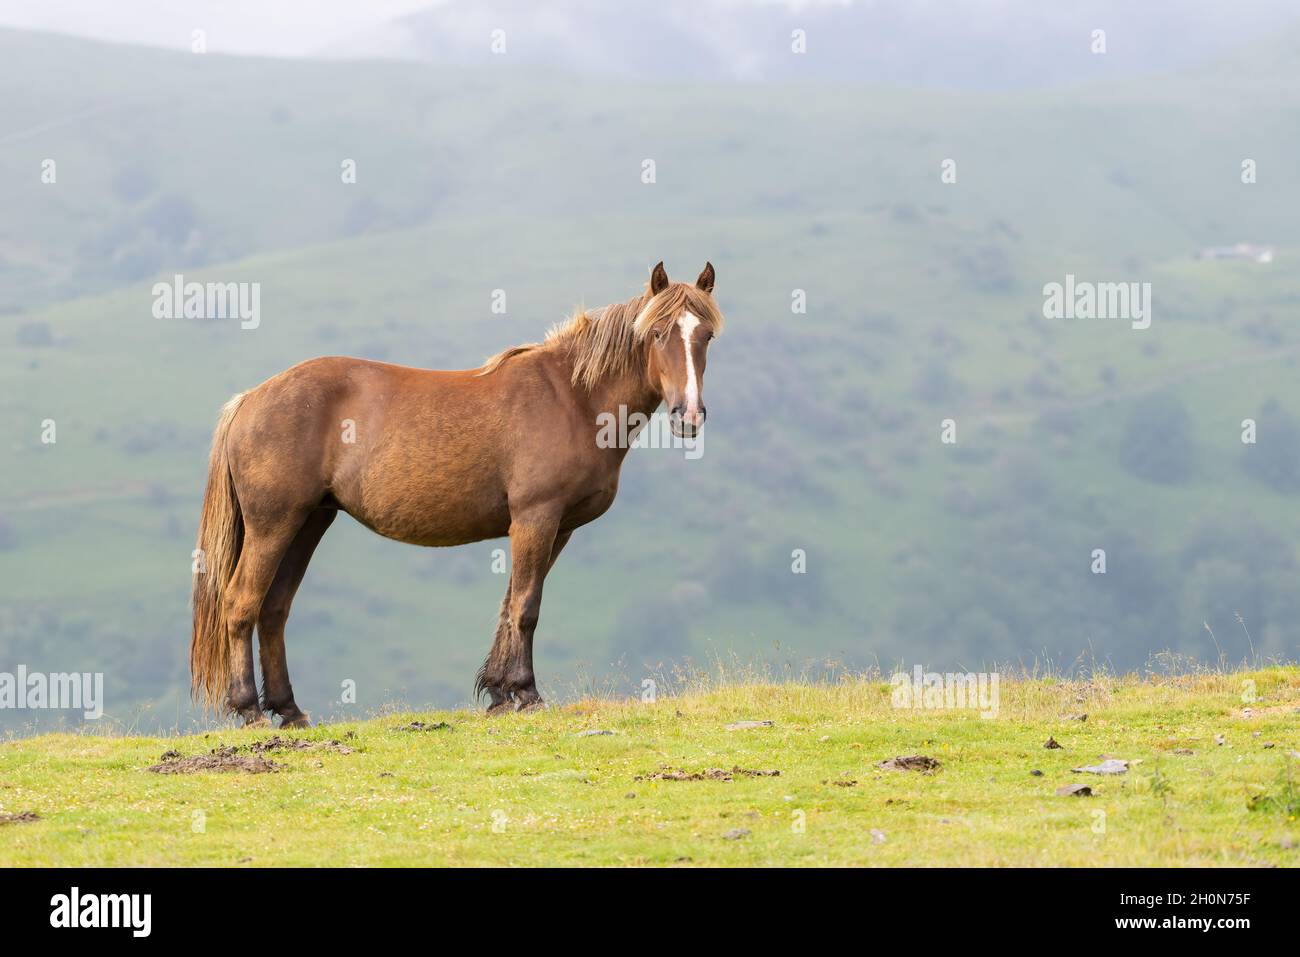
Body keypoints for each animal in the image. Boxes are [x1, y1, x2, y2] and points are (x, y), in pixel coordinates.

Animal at [191, 261, 722, 722]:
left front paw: (500, 691)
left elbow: (511, 603)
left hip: (309, 521)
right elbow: (526, 606)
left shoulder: (556, 528)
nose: (689, 416)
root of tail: (250, 400)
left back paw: (289, 710)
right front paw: (526, 692)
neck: (573, 397)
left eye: (706, 335)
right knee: (241, 602)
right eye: (657, 333)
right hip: (273, 524)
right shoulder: (536, 518)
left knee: (274, 609)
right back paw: (249, 709)